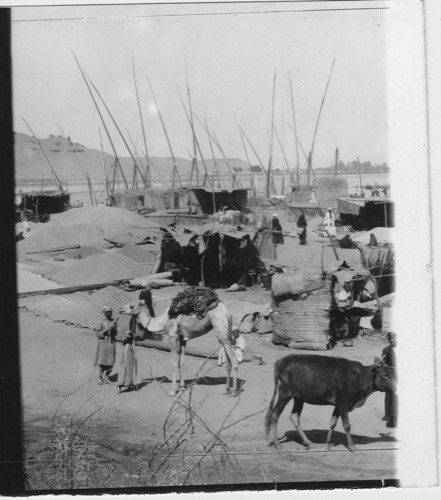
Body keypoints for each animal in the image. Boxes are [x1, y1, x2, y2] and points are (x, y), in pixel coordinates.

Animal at [264, 354, 396, 452]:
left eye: (392, 372)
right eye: (384, 374)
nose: (396, 387)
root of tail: (280, 361)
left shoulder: (338, 404)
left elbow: (332, 422)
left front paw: (328, 444)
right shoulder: (343, 402)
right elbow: (347, 425)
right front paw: (352, 446)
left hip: (298, 397)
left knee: (294, 416)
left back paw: (308, 442)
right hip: (285, 393)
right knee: (275, 415)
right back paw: (277, 444)